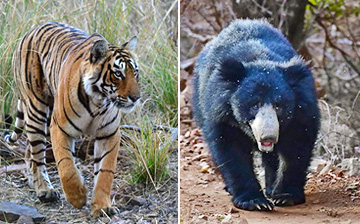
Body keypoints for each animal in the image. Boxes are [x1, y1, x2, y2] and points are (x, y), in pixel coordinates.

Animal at [3, 21, 141, 216]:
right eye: (118, 74)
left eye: (135, 73)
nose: (136, 98)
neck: (98, 101)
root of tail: (32, 29)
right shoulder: (59, 128)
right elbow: (66, 165)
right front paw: (77, 197)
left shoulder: (109, 133)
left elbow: (105, 172)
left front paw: (103, 206)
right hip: (37, 111)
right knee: (37, 155)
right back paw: (45, 190)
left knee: (29, 151)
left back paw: (34, 183)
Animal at [193, 18, 320, 210]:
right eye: (254, 105)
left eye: (278, 106)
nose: (268, 136)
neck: (262, 60)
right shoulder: (221, 113)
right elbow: (231, 149)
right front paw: (254, 201)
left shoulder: (302, 110)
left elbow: (297, 147)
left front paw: (285, 196)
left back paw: (271, 187)